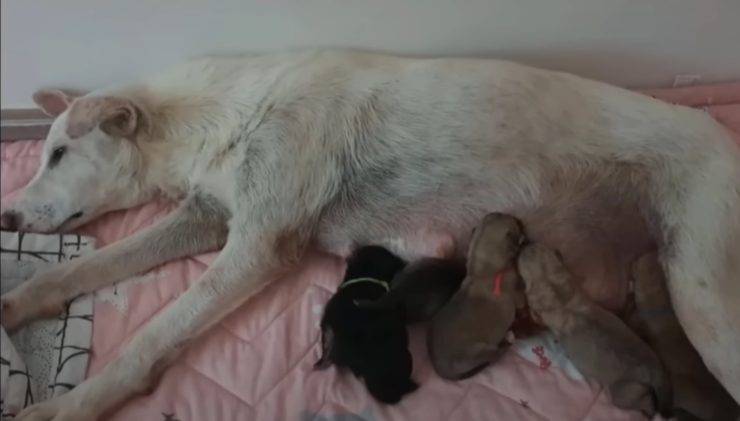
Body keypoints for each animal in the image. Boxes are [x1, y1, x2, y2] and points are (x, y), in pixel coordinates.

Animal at [428, 213, 525, 379]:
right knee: (496, 355)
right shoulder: (517, 295)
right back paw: (507, 340)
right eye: (514, 223)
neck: (481, 272)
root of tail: (442, 371)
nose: (519, 219)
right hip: (480, 350)